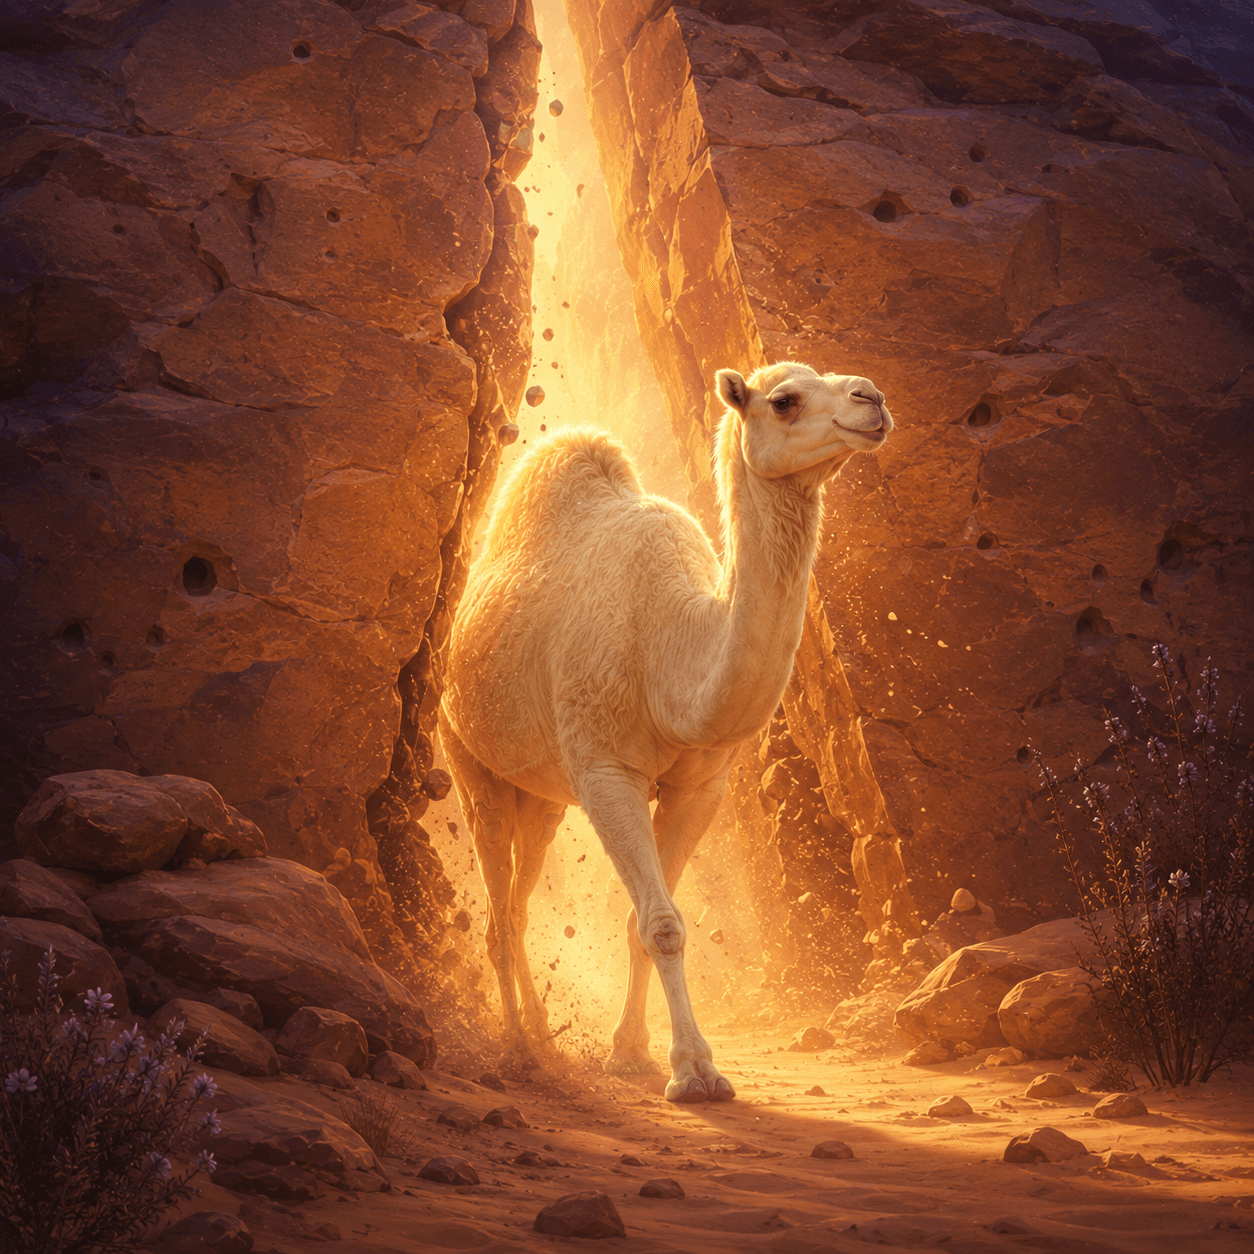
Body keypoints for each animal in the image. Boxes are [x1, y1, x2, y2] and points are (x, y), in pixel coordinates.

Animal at [438, 361, 892, 1102]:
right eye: (784, 401)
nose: (872, 399)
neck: (669, 658)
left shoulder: (699, 785)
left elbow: (640, 922)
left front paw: (632, 1053)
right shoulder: (605, 769)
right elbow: (664, 924)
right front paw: (695, 1071)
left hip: (541, 795)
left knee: (520, 896)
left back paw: (540, 1034)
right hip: (467, 756)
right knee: (500, 910)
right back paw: (519, 1049)